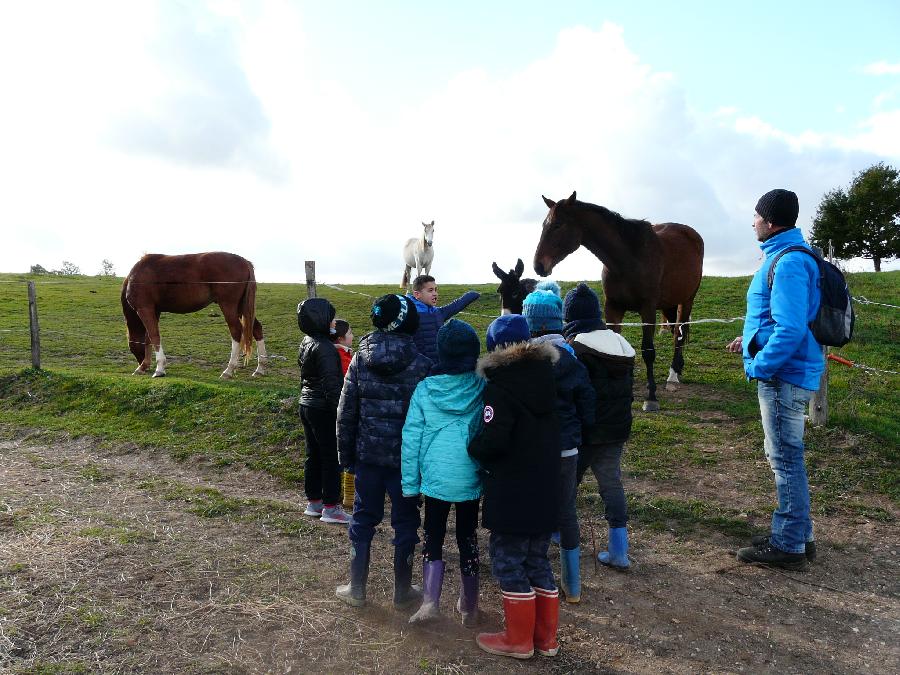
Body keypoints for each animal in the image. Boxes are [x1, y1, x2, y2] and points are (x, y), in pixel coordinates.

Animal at [122, 254, 268, 380]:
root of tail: (245, 262)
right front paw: (144, 366)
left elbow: (154, 336)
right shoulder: (154, 311)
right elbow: (148, 338)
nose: (142, 364)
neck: (136, 276)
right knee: (256, 329)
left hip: (229, 306)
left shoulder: (144, 309)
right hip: (242, 308)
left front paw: (159, 368)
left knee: (236, 330)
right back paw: (260, 368)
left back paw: (229, 370)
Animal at [536, 190, 704, 412]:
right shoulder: (613, 308)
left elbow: (648, 351)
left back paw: (673, 375)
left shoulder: (648, 309)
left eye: (558, 225)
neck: (628, 258)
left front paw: (651, 397)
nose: (538, 265)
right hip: (669, 303)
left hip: (686, 301)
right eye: (544, 225)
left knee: (679, 333)